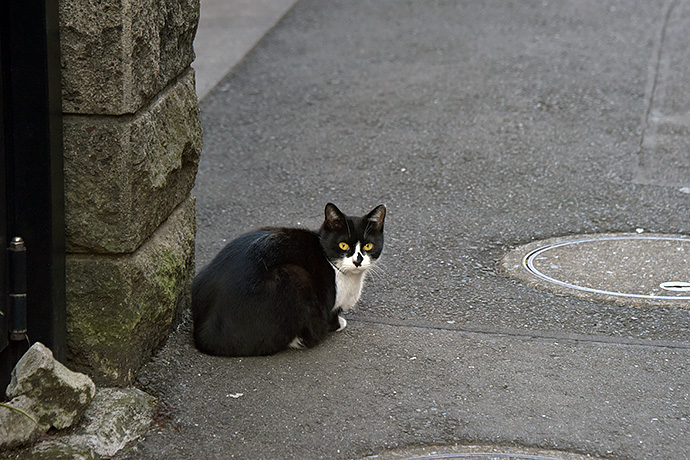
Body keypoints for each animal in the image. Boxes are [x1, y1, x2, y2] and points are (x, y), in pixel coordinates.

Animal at [191, 203, 384, 358]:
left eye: (368, 246)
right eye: (343, 245)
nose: (357, 261)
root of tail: (204, 333)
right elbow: (331, 316)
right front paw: (338, 323)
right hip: (294, 277)